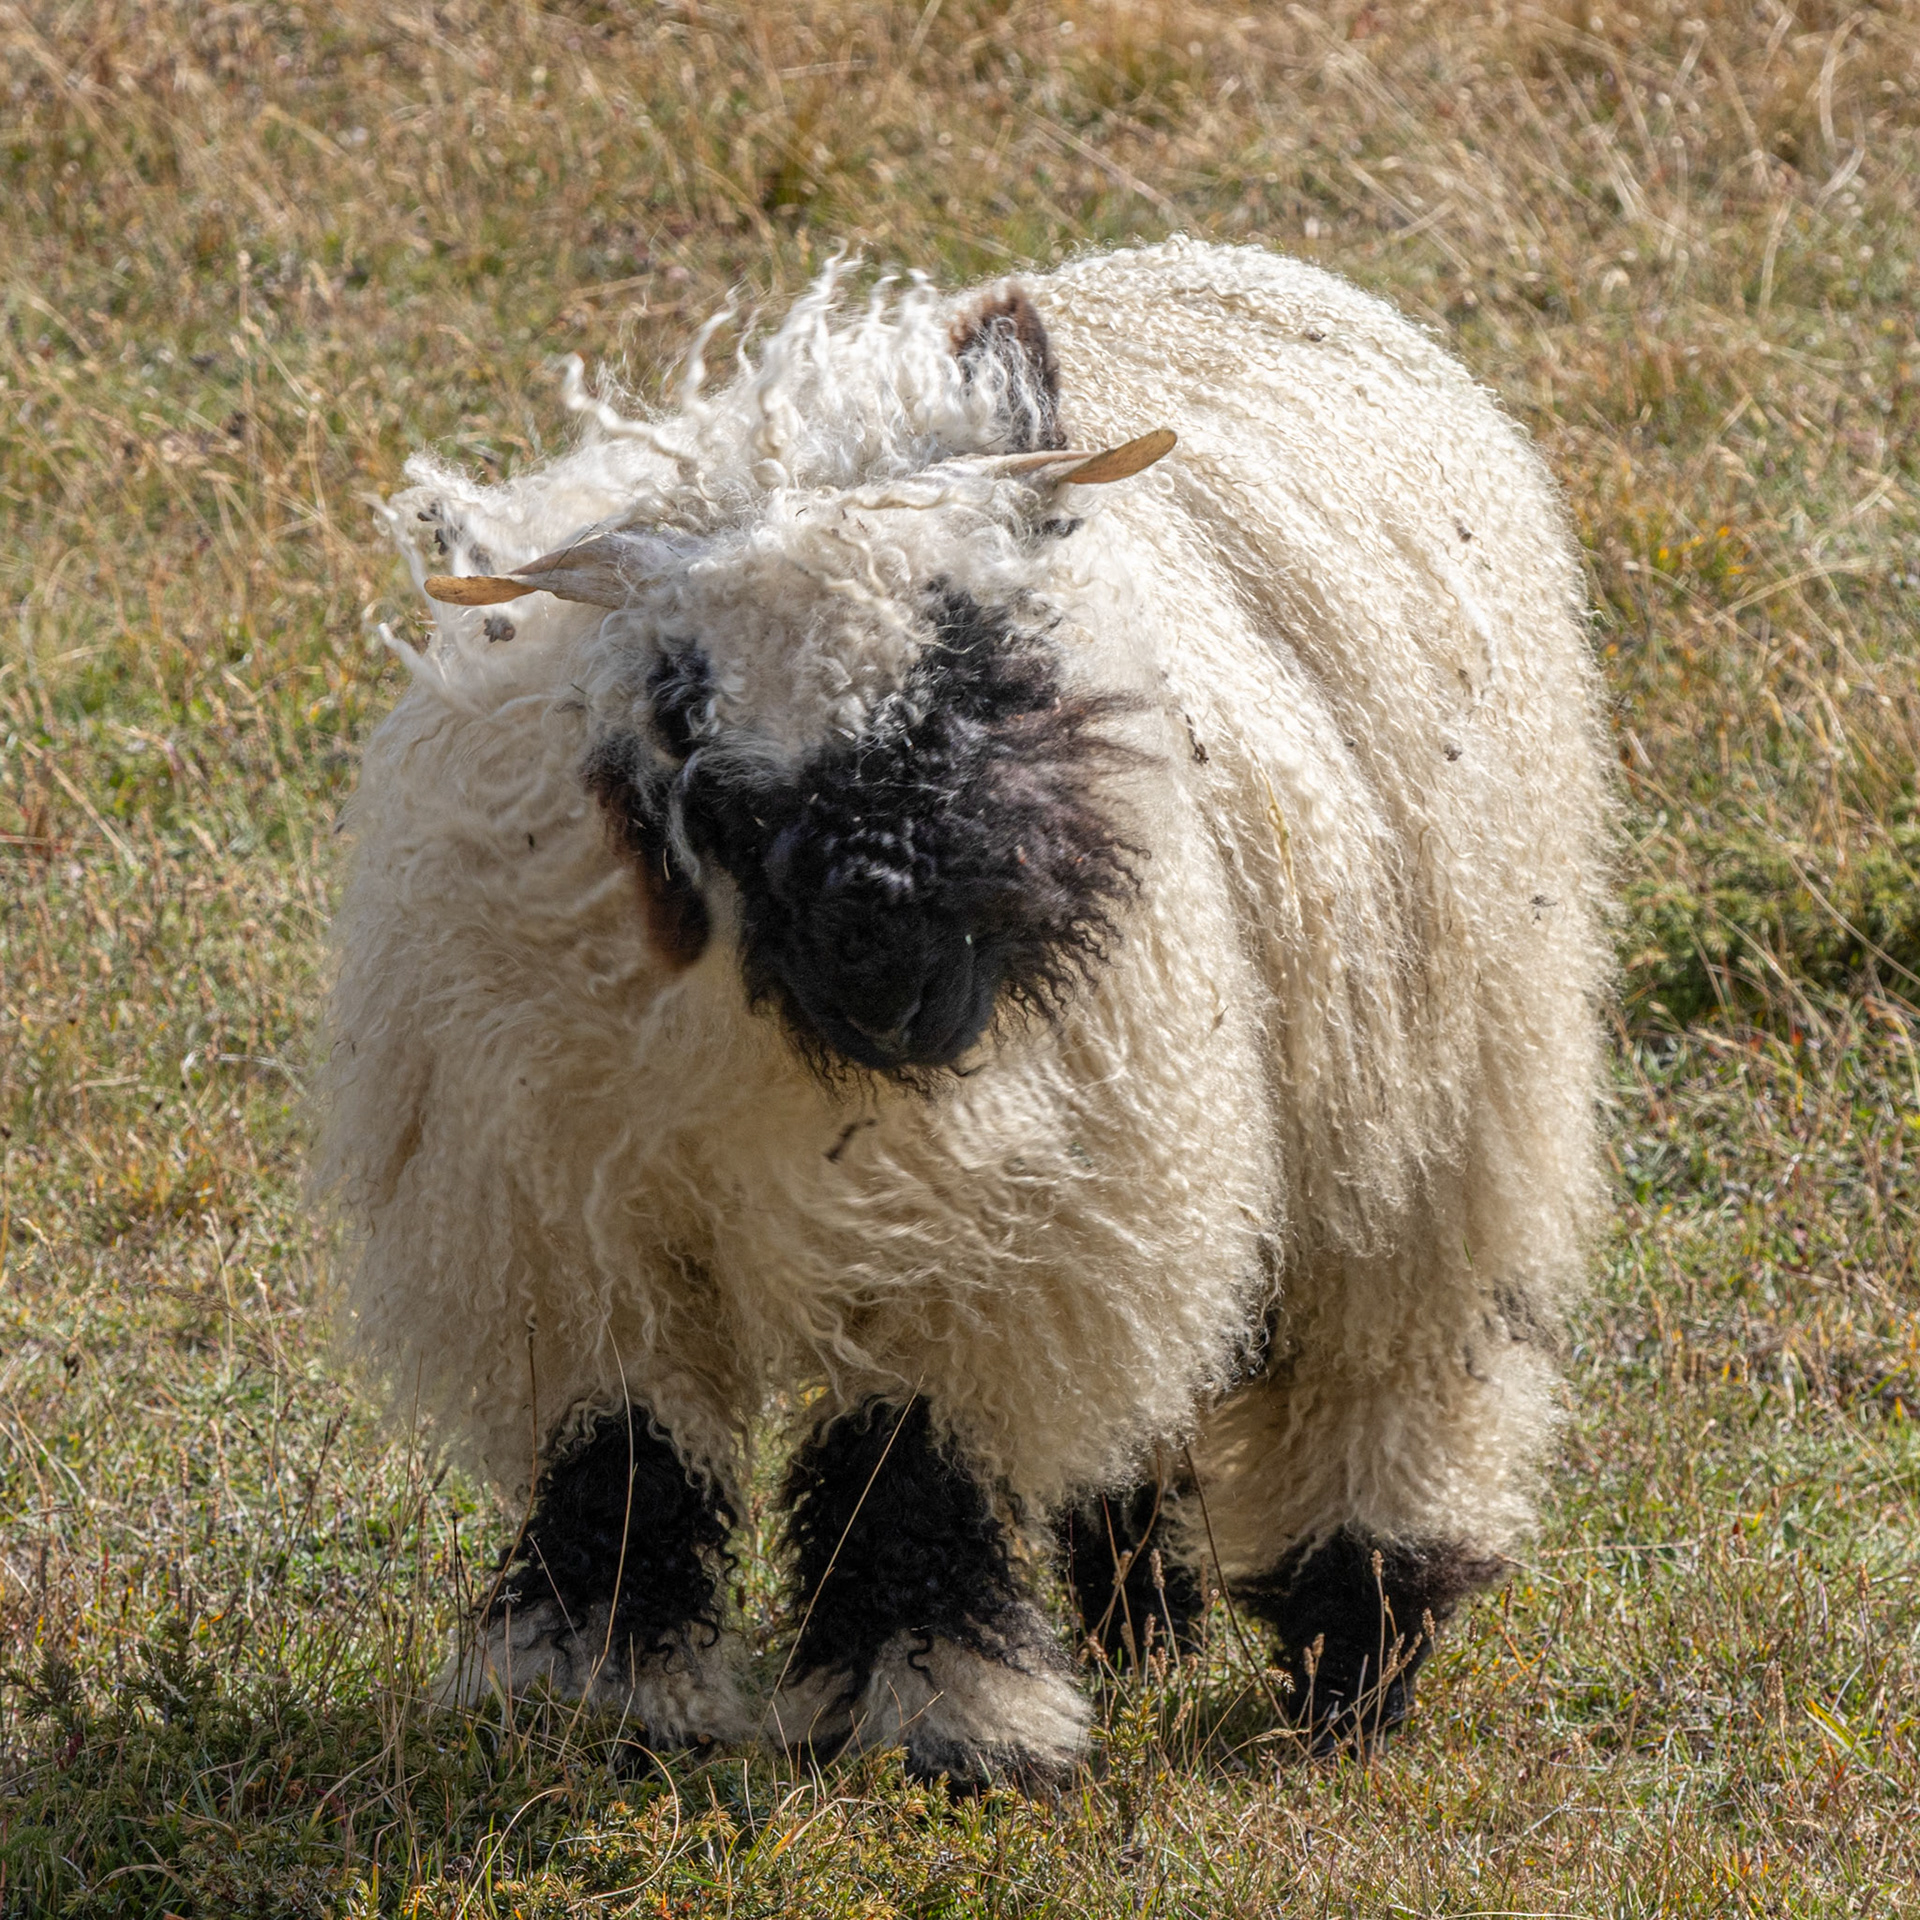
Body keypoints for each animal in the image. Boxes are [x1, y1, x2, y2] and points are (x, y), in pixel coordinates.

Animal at [318, 238, 1610, 1786]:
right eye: (682, 709)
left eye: (980, 660)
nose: (880, 918)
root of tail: (1208, 257)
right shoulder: (562, 1220)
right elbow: (620, 1464)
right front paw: (588, 1701)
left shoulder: (1000, 1240)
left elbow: (913, 1467)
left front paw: (934, 1724)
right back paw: (1144, 1626)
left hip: (1434, 1099)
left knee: (1393, 1361)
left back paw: (1352, 1665)